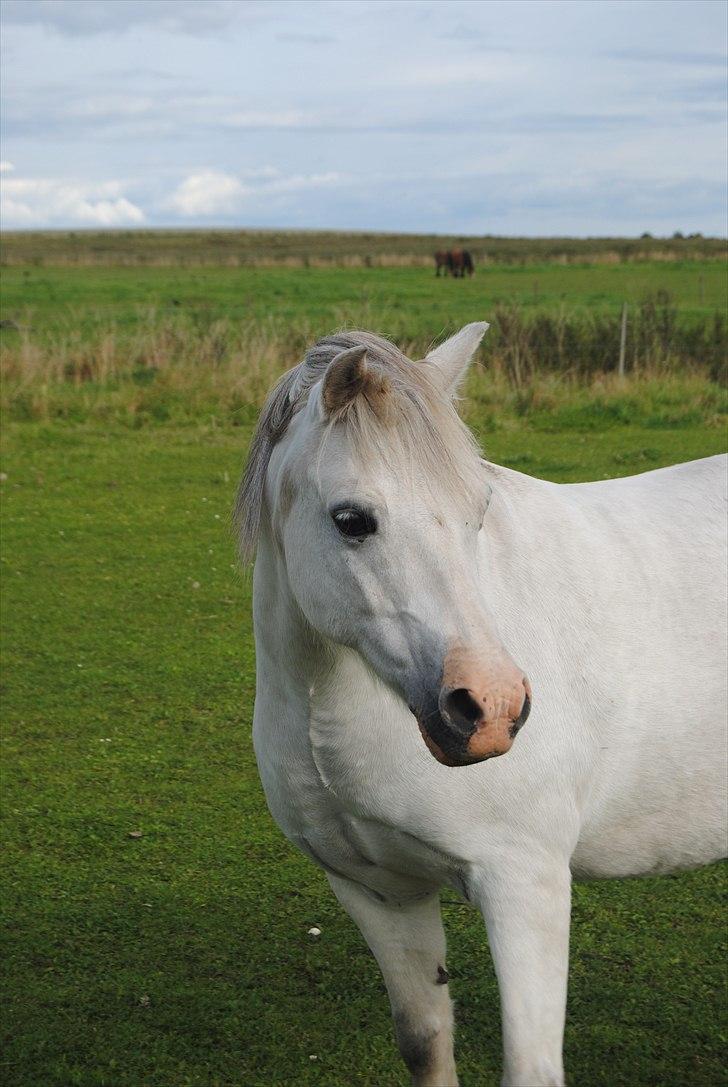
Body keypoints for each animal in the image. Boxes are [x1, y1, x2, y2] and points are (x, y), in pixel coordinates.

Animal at [236, 323, 725, 1087]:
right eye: (352, 519)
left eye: (477, 514)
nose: (490, 708)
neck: (331, 718)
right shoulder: (380, 891)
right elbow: (425, 1040)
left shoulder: (524, 883)